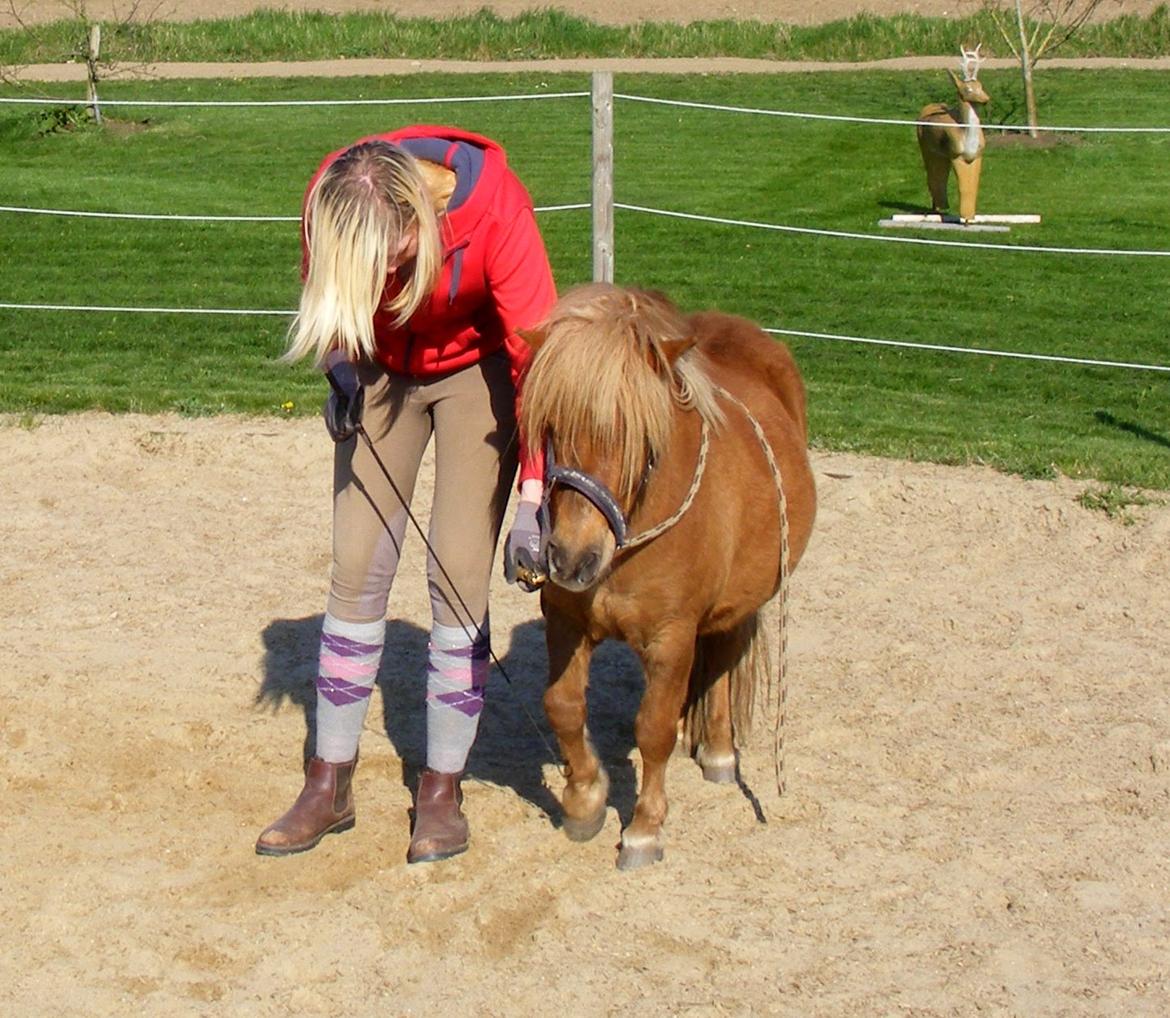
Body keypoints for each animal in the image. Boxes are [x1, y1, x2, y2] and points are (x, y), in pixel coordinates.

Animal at [521, 283, 814, 870]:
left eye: (639, 436)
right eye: (551, 425)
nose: (572, 559)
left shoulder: (671, 636)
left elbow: (650, 727)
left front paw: (643, 830)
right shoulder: (564, 621)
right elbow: (563, 706)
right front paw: (584, 800)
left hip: (739, 601)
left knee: (724, 656)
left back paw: (719, 751)